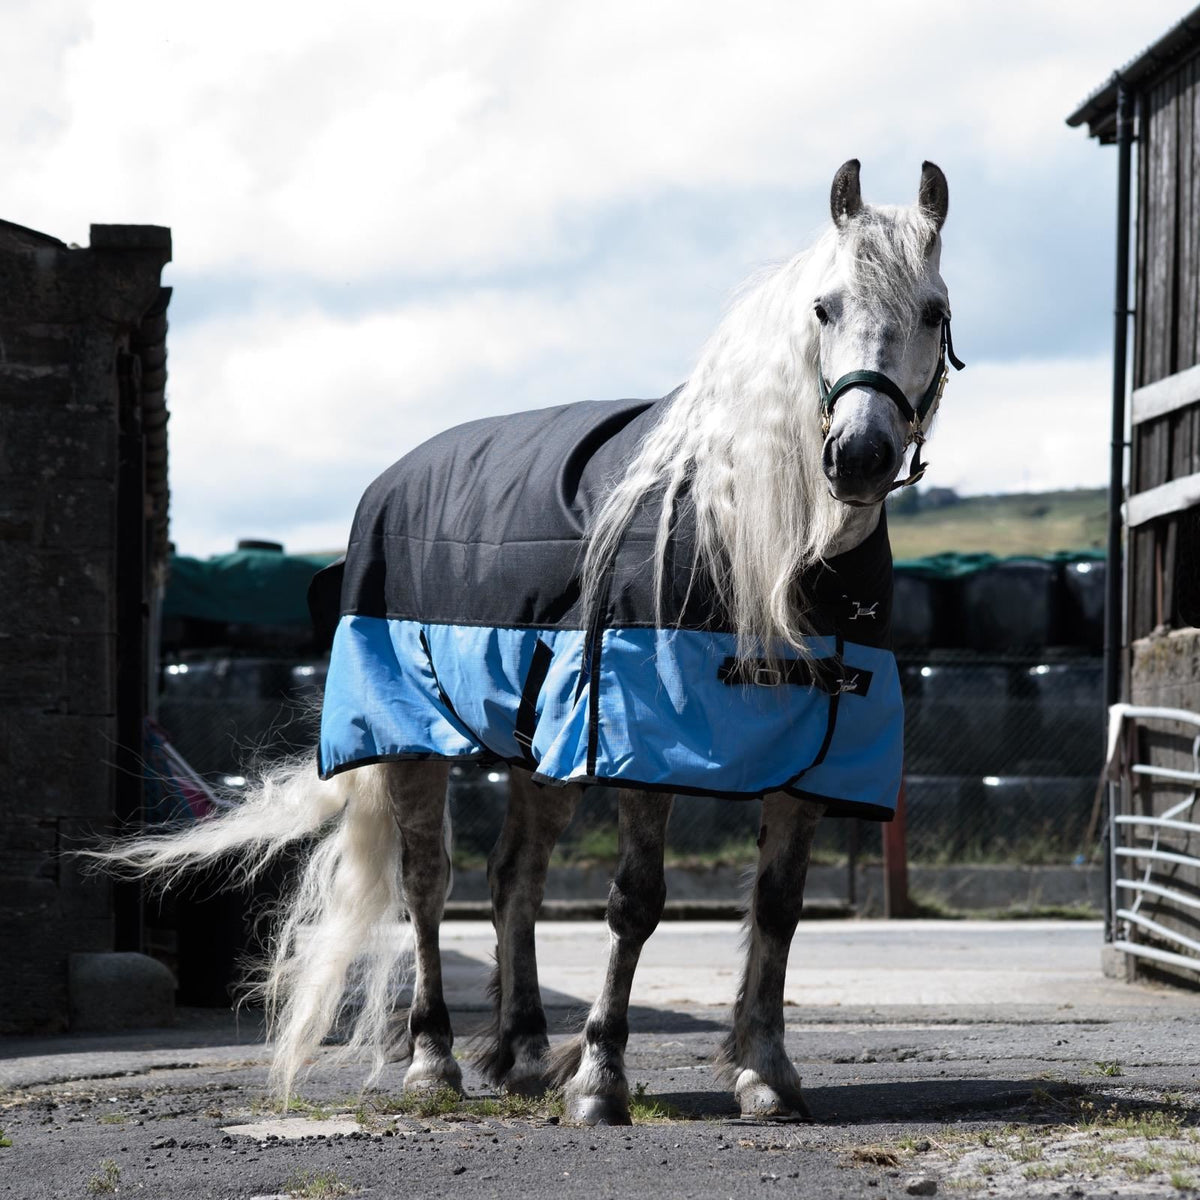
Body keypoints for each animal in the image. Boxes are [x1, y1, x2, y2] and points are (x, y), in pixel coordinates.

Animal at [97, 159, 962, 1127]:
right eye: (822, 307)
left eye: (933, 311)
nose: (859, 454)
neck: (753, 537)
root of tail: (391, 480)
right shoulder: (643, 747)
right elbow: (635, 903)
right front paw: (602, 1078)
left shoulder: (811, 756)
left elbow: (777, 908)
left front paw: (765, 1074)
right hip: (414, 743)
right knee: (430, 883)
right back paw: (434, 1058)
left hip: (535, 746)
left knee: (517, 877)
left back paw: (521, 1049)